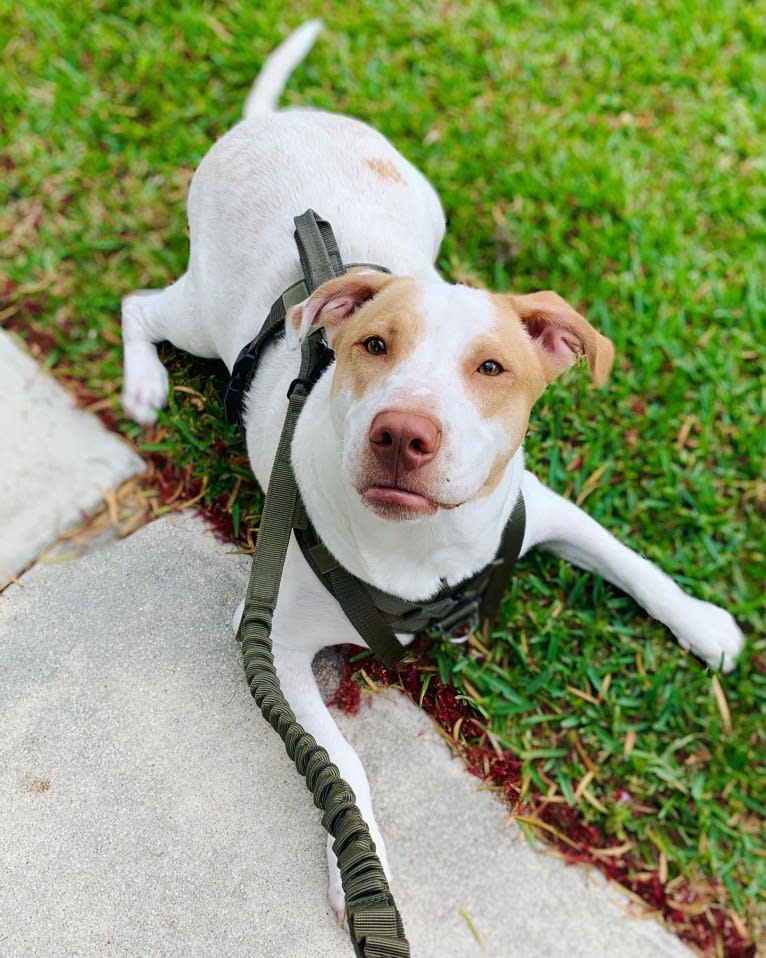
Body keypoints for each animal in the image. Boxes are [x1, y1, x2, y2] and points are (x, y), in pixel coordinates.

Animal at [120, 20, 744, 924]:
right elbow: (342, 766)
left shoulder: (543, 509)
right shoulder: (271, 645)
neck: (425, 547)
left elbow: (635, 564)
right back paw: (142, 382)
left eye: (493, 368)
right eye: (374, 346)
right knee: (138, 306)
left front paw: (706, 625)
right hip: (202, 314)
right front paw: (361, 868)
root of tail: (275, 121)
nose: (402, 434)